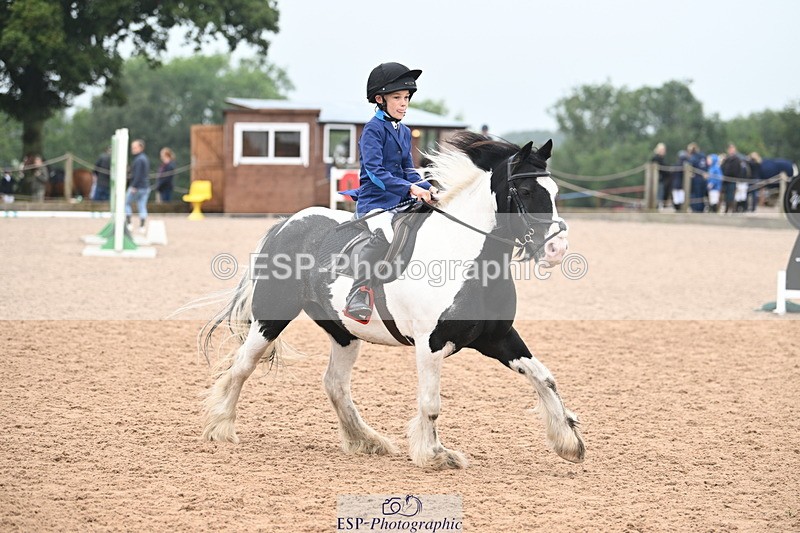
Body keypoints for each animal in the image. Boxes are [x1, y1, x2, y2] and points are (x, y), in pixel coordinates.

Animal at [200, 131, 585, 469]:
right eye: (525, 190)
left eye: (555, 191)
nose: (557, 249)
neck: (464, 254)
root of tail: (286, 224)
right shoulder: (430, 344)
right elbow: (430, 402)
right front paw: (435, 454)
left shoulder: (499, 338)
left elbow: (544, 378)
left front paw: (569, 442)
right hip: (271, 317)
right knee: (243, 366)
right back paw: (220, 427)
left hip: (343, 332)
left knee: (335, 384)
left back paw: (367, 440)